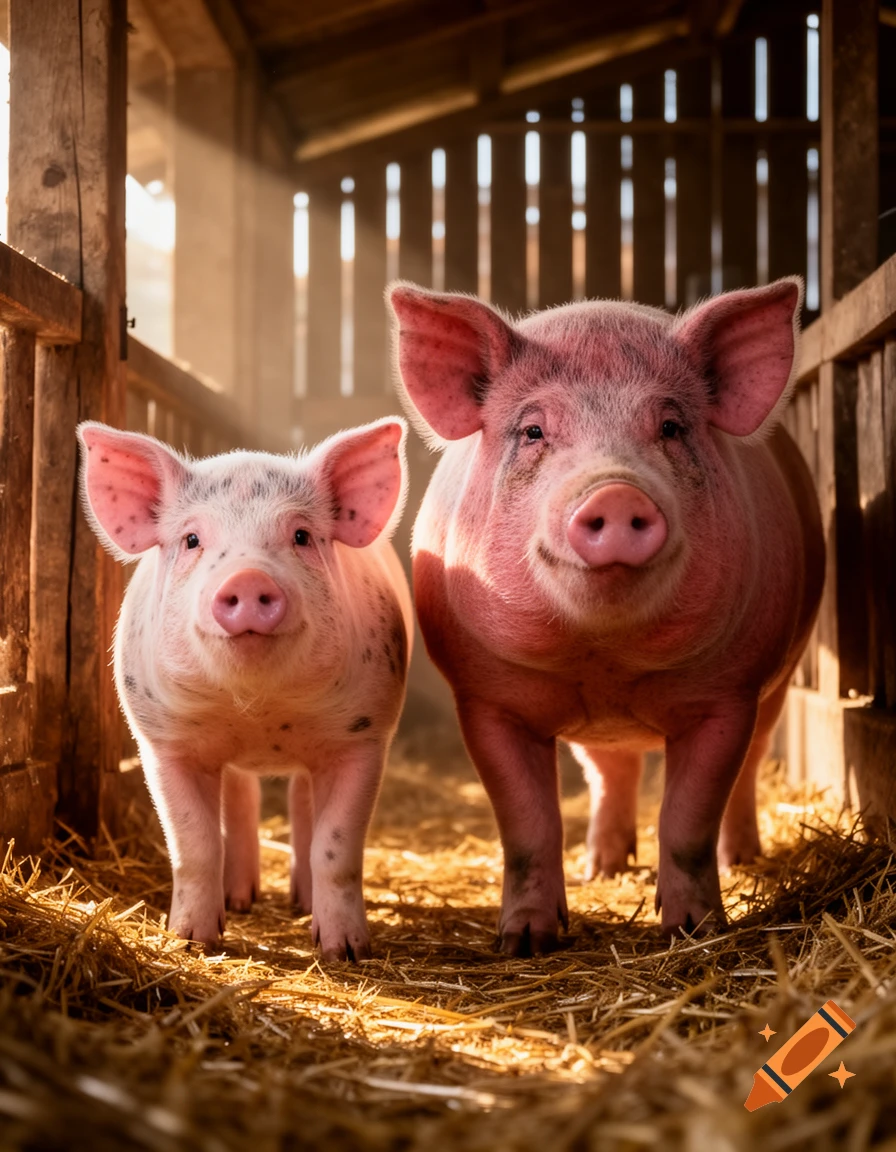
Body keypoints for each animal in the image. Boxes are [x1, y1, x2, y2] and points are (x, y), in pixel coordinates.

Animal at [77, 418, 413, 961]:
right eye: (192, 538)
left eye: (301, 535)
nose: (249, 578)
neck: (258, 713)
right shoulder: (163, 743)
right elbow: (194, 843)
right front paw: (192, 940)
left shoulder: (365, 736)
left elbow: (336, 847)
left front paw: (344, 951)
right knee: (241, 796)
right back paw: (241, 899)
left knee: (299, 800)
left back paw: (301, 903)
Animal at [388, 278, 824, 956]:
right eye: (533, 430)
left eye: (670, 426)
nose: (616, 492)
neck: (606, 661)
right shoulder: (488, 699)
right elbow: (528, 825)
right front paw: (526, 942)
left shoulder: (728, 694)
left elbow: (688, 820)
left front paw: (692, 932)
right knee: (609, 773)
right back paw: (604, 867)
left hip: (779, 678)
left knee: (751, 766)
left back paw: (741, 860)